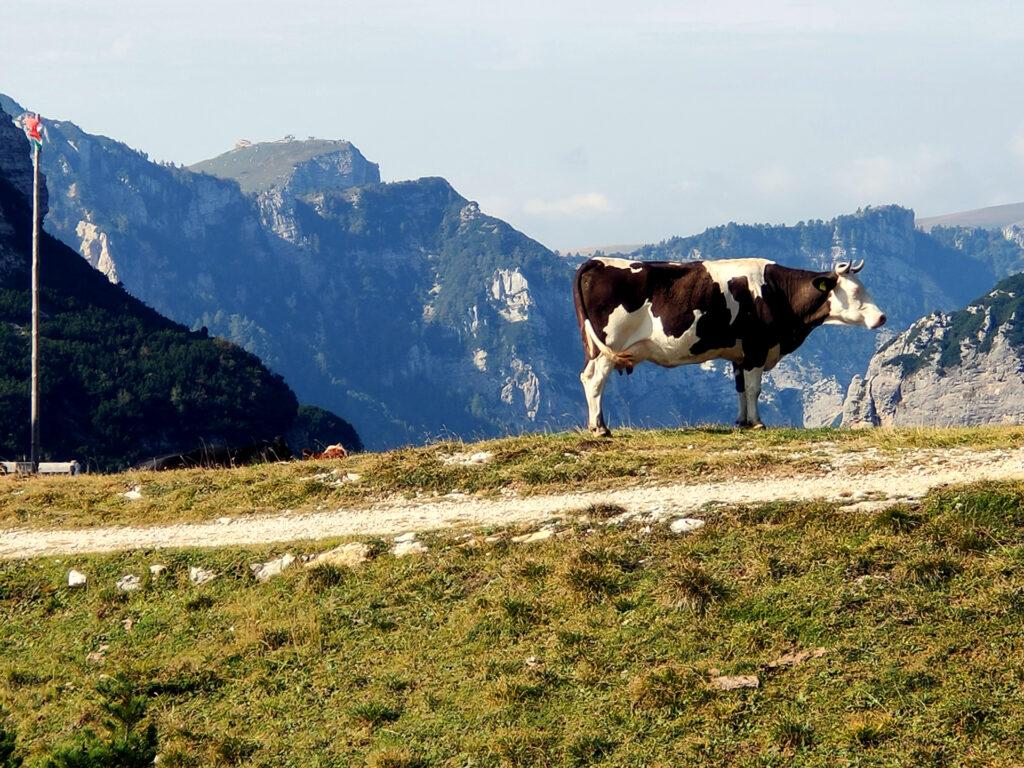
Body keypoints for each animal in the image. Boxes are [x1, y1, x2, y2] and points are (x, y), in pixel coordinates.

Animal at [573, 257, 884, 436]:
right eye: (855, 291)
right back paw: (600, 427)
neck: (776, 292)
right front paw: (757, 423)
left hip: (594, 347)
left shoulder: (740, 353)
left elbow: (741, 389)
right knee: (594, 380)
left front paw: (742, 421)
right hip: (607, 346)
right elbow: (755, 389)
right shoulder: (757, 347)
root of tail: (596, 261)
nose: (882, 317)